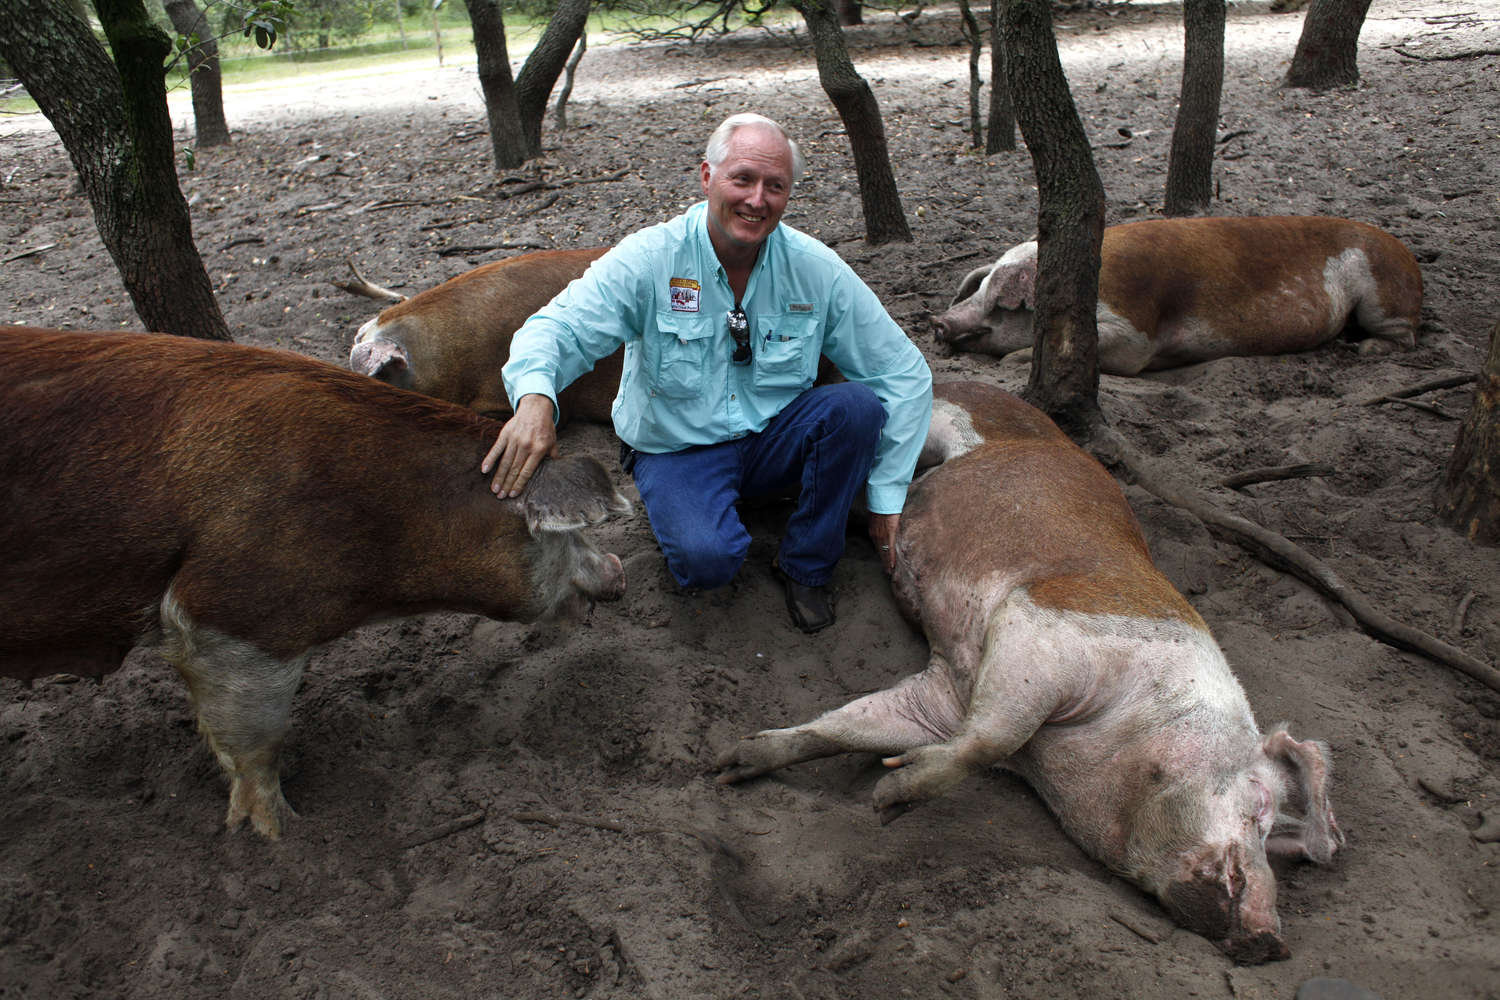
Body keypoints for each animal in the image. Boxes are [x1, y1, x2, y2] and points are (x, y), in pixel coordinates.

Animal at [717, 380, 1350, 959]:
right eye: (1261, 809)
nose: (1273, 943)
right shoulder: (1044, 630)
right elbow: (993, 737)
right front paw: (891, 794)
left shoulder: (948, 693)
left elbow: (857, 722)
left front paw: (732, 764)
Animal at [930, 215, 1422, 374]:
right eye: (978, 288)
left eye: (1002, 305)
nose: (938, 321)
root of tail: (1404, 251)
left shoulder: (1135, 334)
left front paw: (1015, 360)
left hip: (1383, 297)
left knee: (1406, 337)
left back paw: (1364, 350)